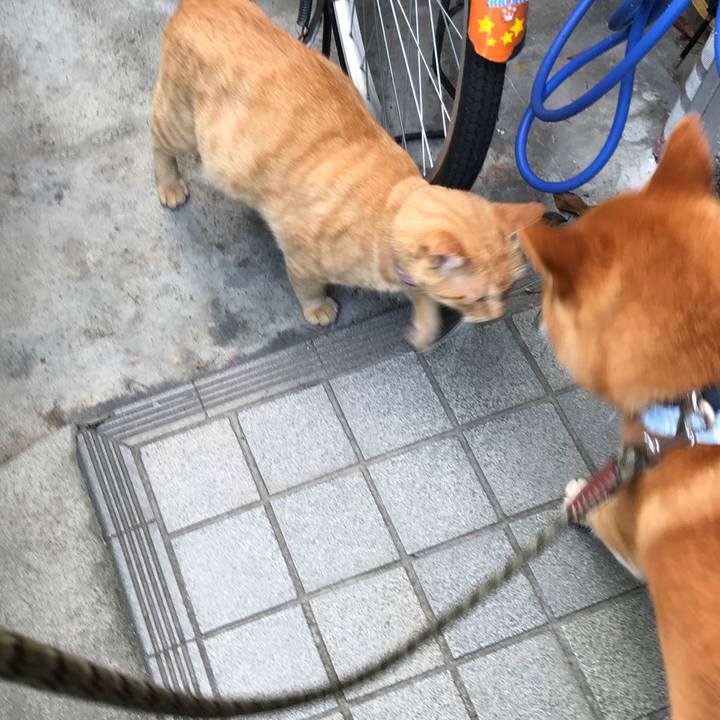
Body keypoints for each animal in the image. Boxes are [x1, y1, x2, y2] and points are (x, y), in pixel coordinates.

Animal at [150, 0, 544, 349]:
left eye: (508, 289)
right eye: (476, 299)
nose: (496, 316)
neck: (389, 209)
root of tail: (202, 3)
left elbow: (423, 298)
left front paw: (424, 328)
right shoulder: (299, 254)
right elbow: (306, 285)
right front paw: (317, 308)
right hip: (180, 125)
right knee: (156, 137)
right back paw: (169, 185)